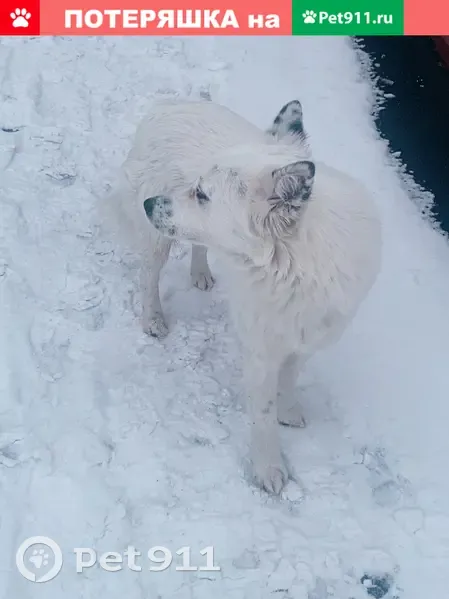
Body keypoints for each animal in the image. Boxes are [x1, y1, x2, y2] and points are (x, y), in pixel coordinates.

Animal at [117, 97, 380, 492]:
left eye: (202, 194)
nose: (150, 204)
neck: (296, 267)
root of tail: (170, 102)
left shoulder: (304, 338)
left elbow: (290, 381)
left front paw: (289, 410)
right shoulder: (261, 351)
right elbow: (263, 415)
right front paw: (268, 469)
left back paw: (201, 273)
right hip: (158, 240)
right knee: (150, 275)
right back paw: (153, 318)